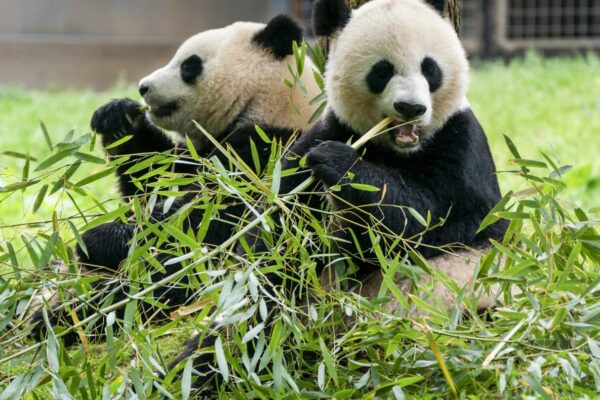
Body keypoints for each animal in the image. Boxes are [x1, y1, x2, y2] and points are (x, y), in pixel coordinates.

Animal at [29, 15, 322, 346]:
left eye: (188, 66)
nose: (143, 87)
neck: (268, 103)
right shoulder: (196, 154)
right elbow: (152, 181)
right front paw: (118, 117)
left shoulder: (267, 153)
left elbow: (205, 221)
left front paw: (97, 239)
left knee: (155, 289)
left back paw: (62, 319)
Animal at [168, 0, 506, 390]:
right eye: (382, 71)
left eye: (429, 68)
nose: (411, 108)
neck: (398, 149)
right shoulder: (323, 135)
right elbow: (278, 241)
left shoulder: (461, 145)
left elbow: (432, 221)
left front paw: (340, 164)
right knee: (254, 326)